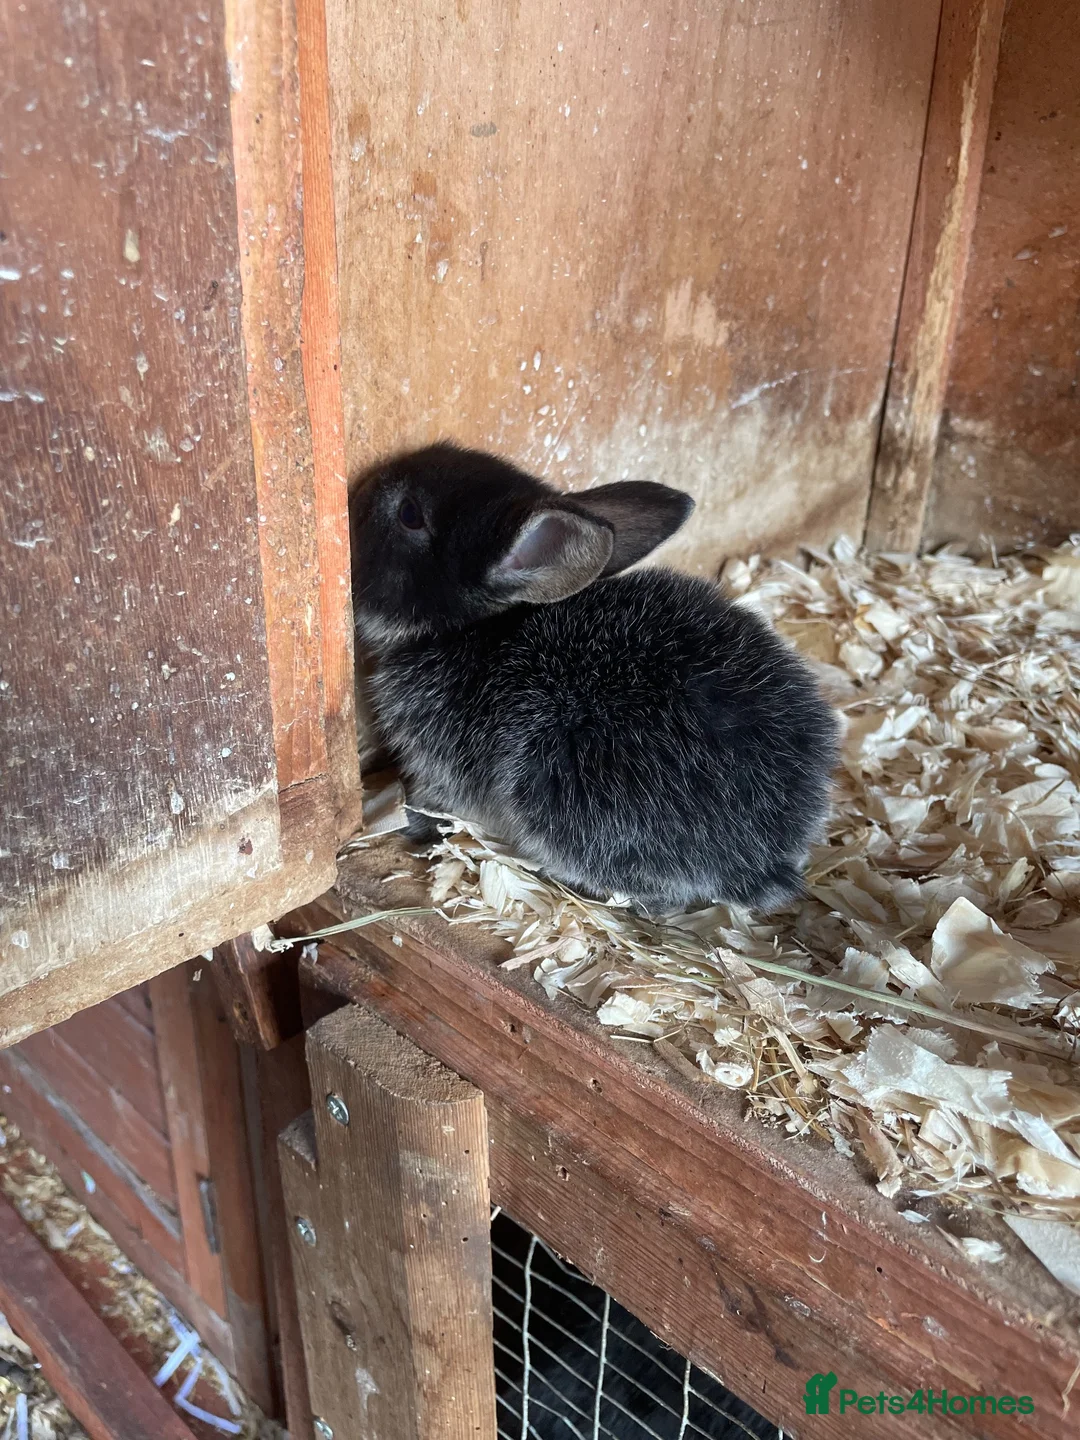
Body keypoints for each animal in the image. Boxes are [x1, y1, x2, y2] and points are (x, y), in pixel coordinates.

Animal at [350, 443, 838, 913]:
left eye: (409, 514)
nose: (365, 485)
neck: (474, 626)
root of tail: (765, 864)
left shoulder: (443, 767)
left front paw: (410, 823)